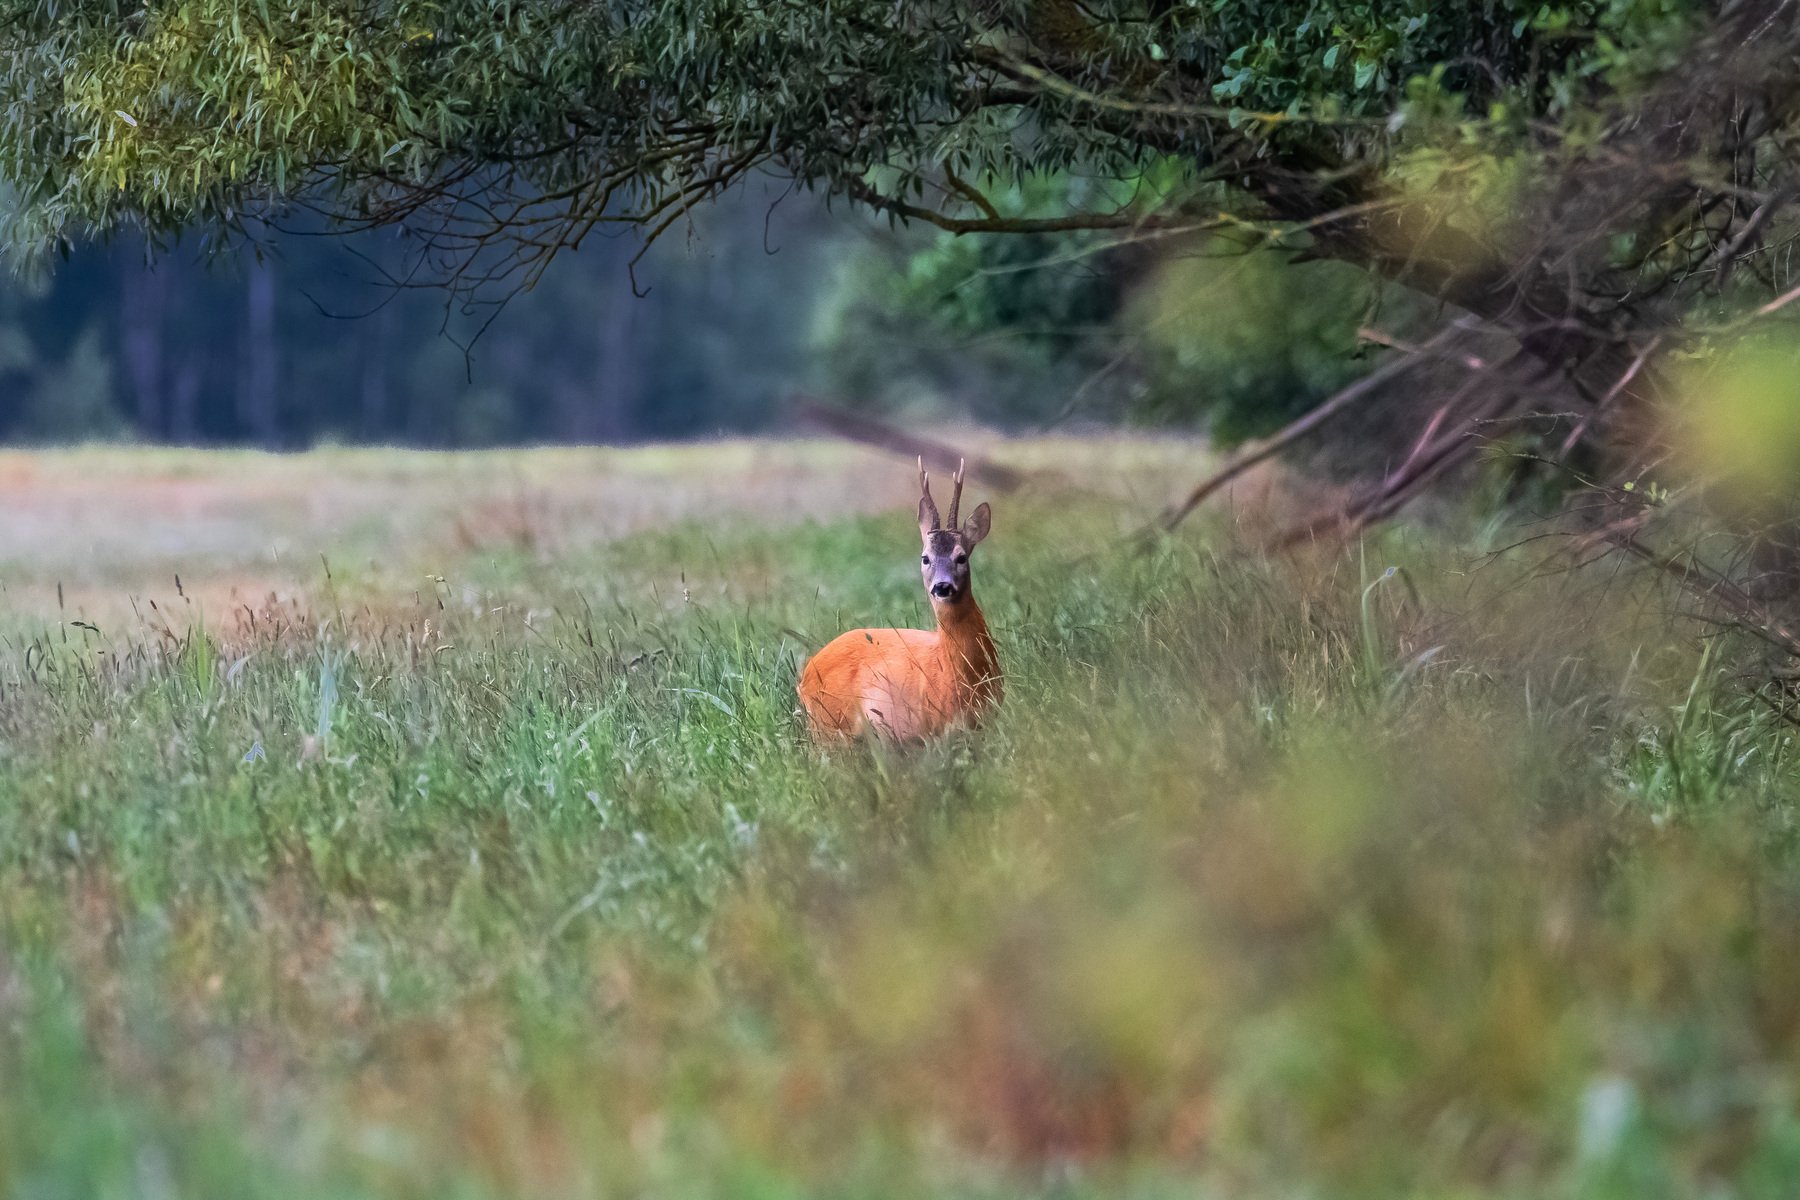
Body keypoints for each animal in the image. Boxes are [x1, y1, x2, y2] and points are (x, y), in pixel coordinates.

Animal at [799, 460, 1008, 741]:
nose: (942, 586)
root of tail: (807, 671)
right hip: (830, 726)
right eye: (925, 558)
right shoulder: (933, 729)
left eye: (961, 557)